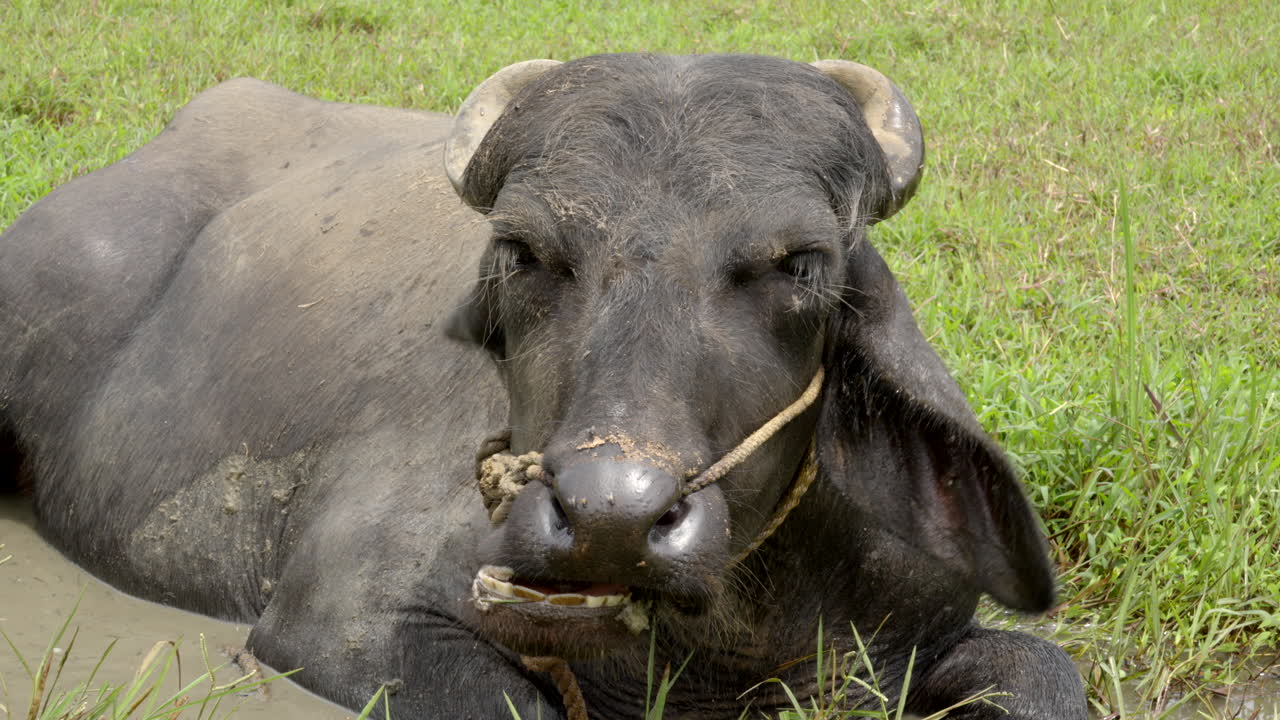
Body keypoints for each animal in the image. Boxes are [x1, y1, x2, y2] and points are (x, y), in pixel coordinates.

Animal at [0, 54, 1086, 718]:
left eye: (802, 262)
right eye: (521, 252)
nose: (611, 516)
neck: (715, 637)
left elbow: (1044, 668)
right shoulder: (342, 624)